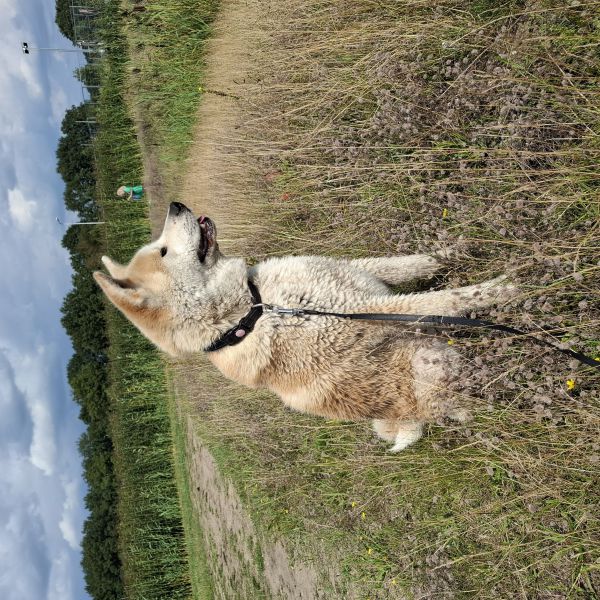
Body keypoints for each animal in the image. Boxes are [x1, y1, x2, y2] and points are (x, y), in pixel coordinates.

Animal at [94, 202, 510, 450]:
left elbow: (412, 264)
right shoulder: (367, 308)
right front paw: (502, 288)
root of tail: (408, 421)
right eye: (164, 251)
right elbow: (440, 301)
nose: (176, 205)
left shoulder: (360, 276)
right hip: (436, 366)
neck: (256, 309)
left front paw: (458, 249)